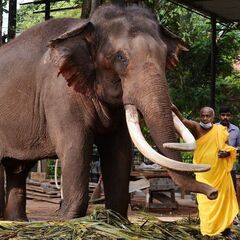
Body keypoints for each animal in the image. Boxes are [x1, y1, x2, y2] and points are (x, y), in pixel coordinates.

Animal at [0, 4, 218, 221]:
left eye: (165, 57)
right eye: (120, 58)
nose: (214, 192)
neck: (86, 26)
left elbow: (119, 151)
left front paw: (116, 220)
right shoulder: (59, 95)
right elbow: (75, 147)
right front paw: (65, 220)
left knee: (17, 167)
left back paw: (17, 222)